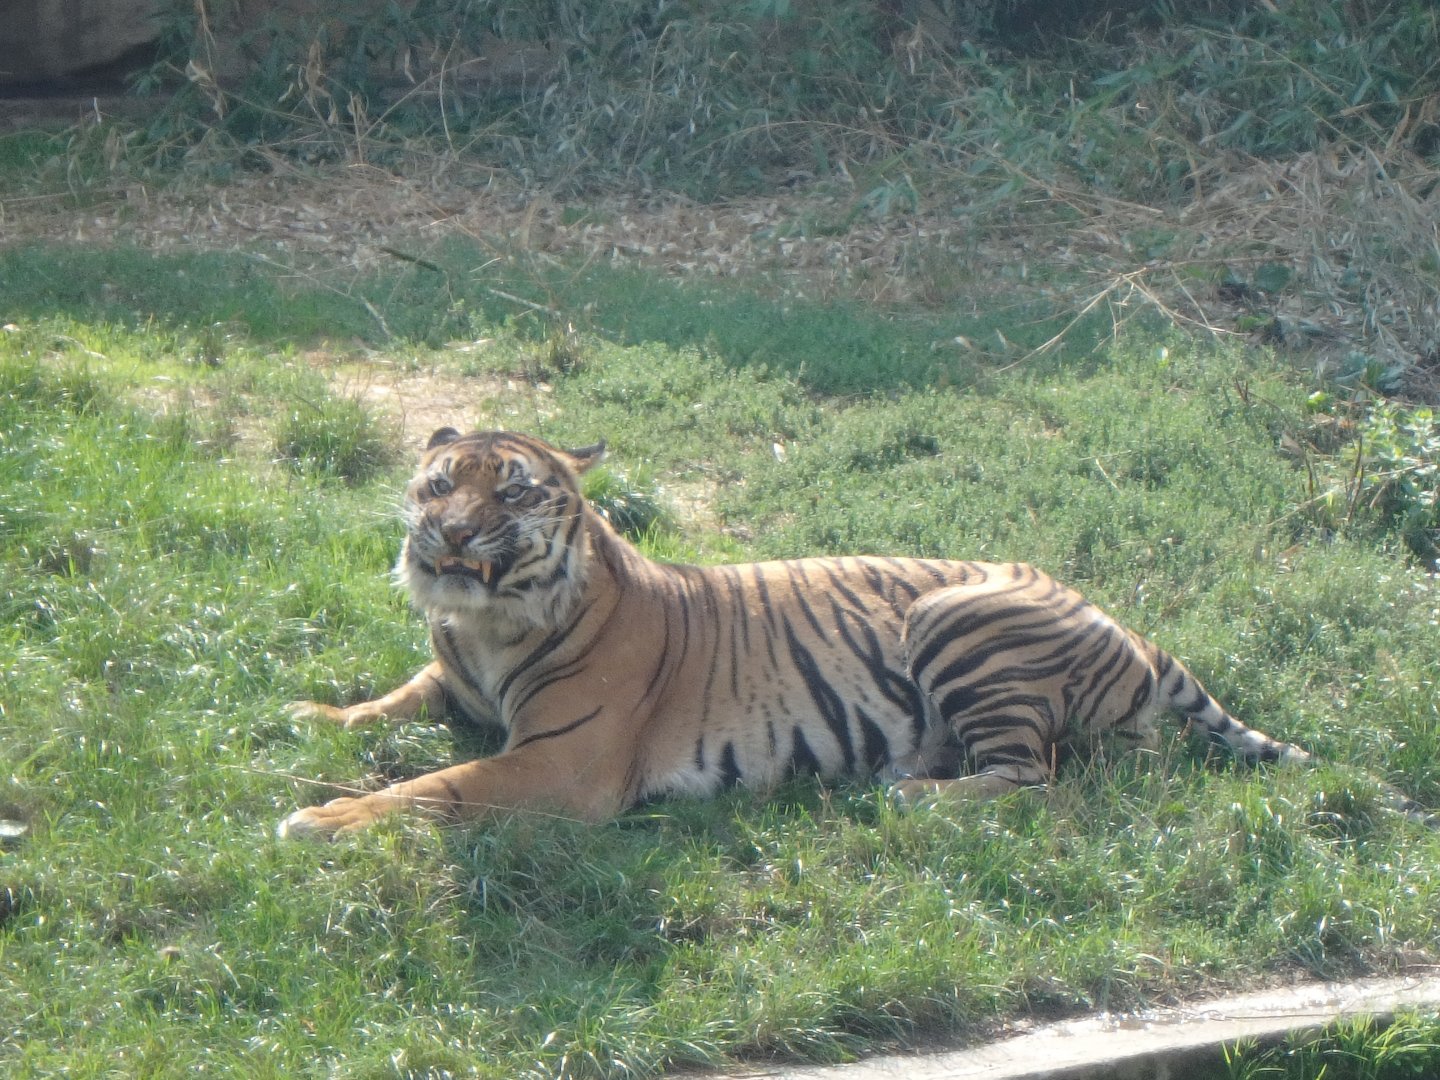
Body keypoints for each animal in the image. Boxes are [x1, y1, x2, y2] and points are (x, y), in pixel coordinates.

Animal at [276, 426, 1326, 839]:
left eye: (514, 492)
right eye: (439, 484)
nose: (451, 534)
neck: (487, 623)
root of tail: (1131, 627)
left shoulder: (560, 765)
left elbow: (439, 786)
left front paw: (322, 819)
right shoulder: (452, 680)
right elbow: (394, 698)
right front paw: (312, 716)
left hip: (953, 621)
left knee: (1037, 780)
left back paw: (915, 794)